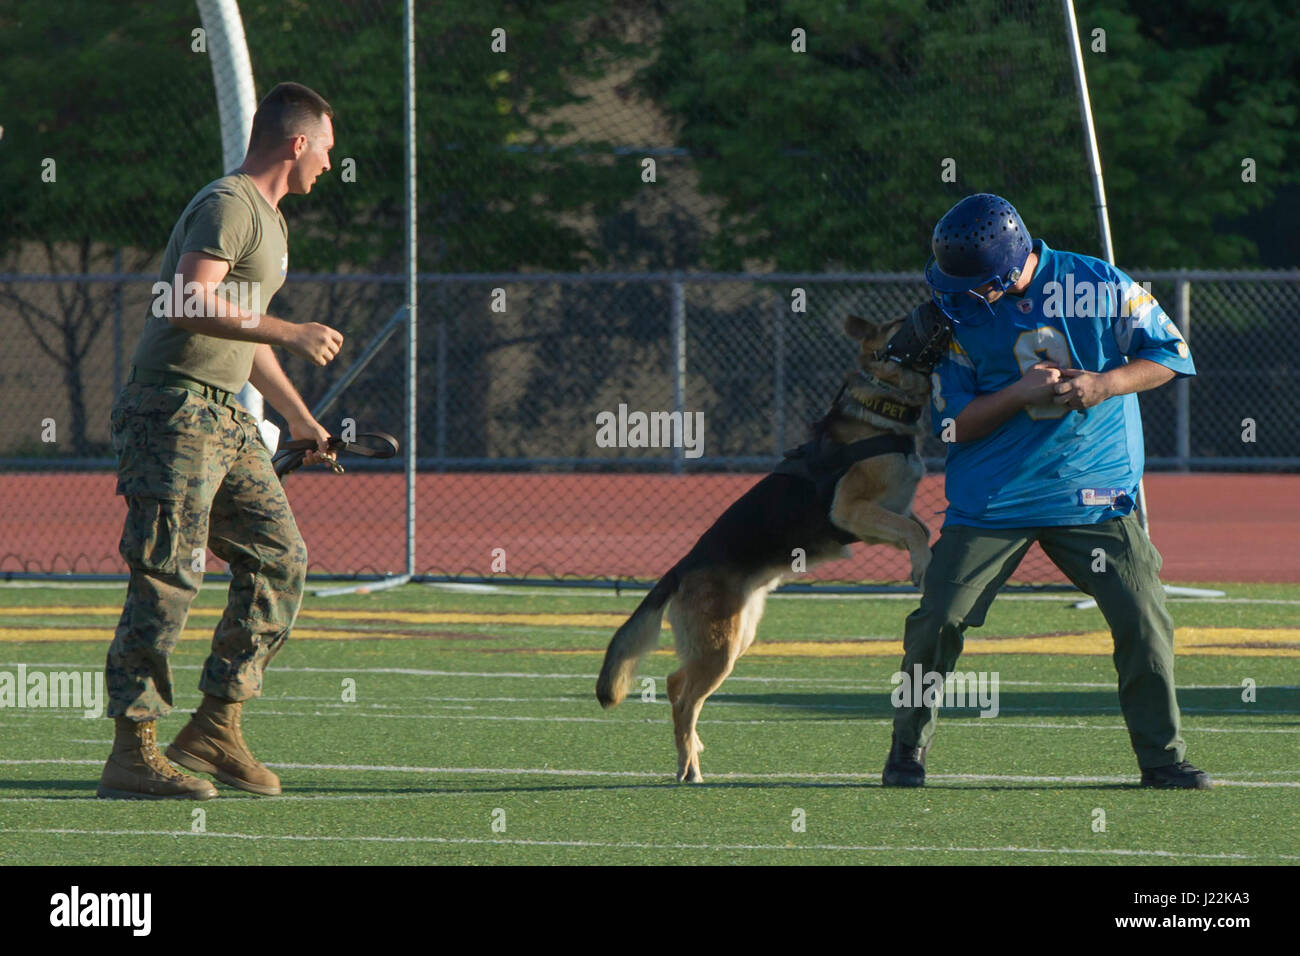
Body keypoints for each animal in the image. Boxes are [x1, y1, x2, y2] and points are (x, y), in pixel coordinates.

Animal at [595, 310, 941, 780]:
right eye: (900, 322)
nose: (938, 314)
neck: (881, 410)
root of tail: (681, 567)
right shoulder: (851, 511)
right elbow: (916, 532)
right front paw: (921, 566)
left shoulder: (889, 514)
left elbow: (917, 527)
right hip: (721, 649)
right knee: (685, 700)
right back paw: (688, 770)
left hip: (733, 639)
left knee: (675, 683)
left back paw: (693, 751)